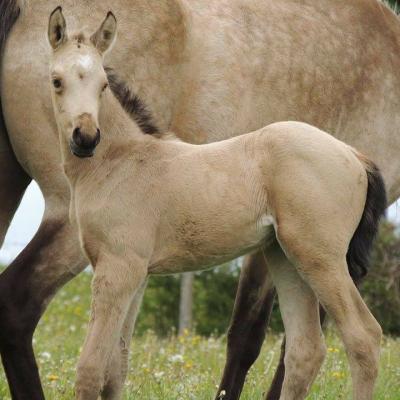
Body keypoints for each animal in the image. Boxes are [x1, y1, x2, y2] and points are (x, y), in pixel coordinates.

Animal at [48, 8, 386, 400]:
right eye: (57, 81)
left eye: (103, 85)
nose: (86, 138)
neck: (120, 161)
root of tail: (354, 154)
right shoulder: (136, 274)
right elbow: (115, 370)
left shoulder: (118, 269)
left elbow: (90, 369)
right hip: (286, 258)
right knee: (306, 350)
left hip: (322, 258)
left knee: (363, 337)